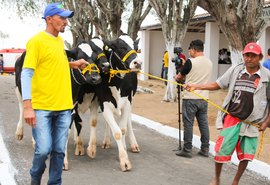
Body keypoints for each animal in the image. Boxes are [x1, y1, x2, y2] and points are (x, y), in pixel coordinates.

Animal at [73, 34, 142, 171]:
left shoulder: (127, 102)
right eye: (121, 47)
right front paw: (124, 160)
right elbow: (117, 132)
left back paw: (132, 144)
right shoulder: (103, 103)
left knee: (129, 121)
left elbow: (122, 129)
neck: (118, 83)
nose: (138, 63)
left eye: (136, 48)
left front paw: (123, 152)